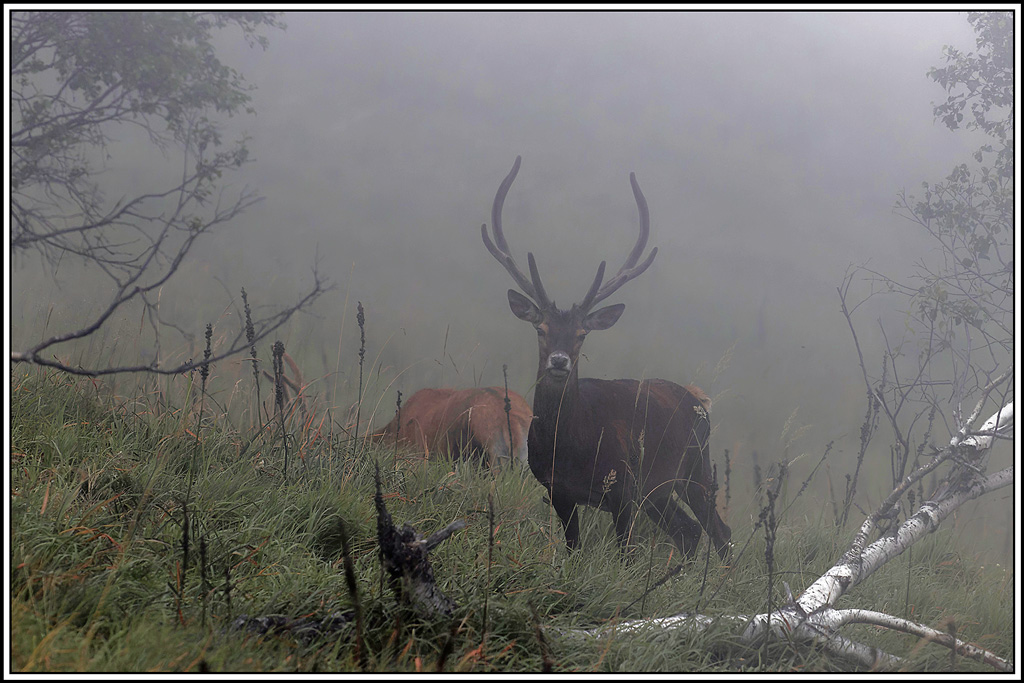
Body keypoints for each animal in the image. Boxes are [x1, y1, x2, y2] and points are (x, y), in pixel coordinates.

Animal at [481, 156, 731, 559]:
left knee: (719, 532)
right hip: (659, 490)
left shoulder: (623, 490)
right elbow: (573, 551)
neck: (572, 448)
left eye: (582, 334)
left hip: (695, 466)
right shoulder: (558, 492)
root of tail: (700, 401)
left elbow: (625, 557)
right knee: (689, 530)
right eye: (541, 329)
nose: (559, 361)